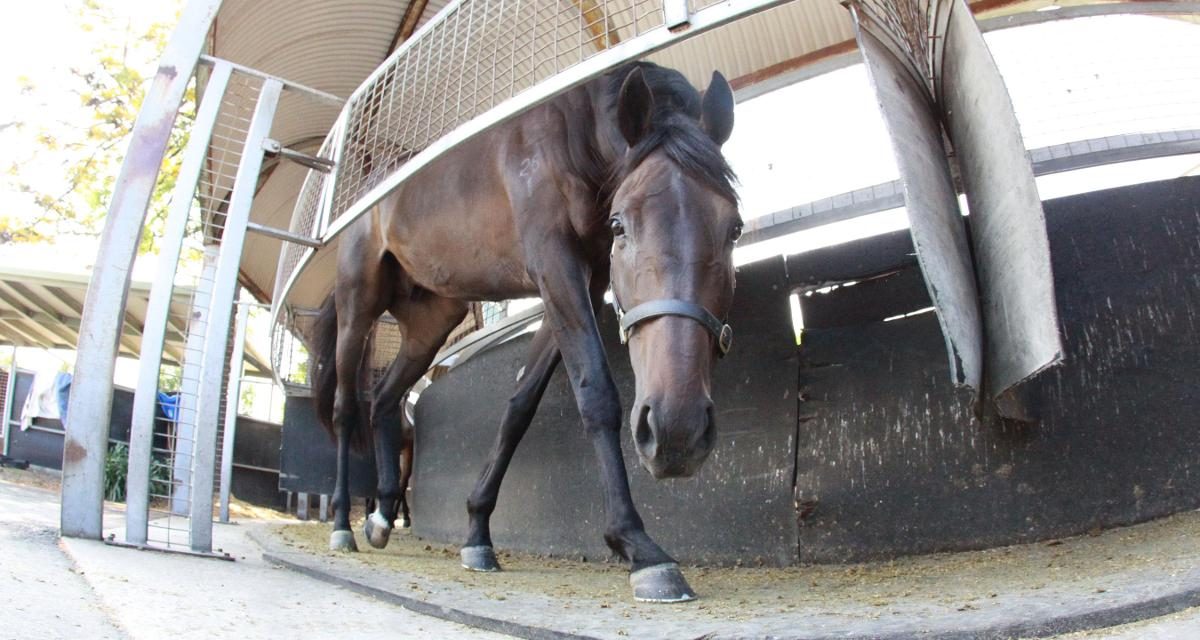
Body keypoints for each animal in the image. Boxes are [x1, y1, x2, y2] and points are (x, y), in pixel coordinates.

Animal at [309, 62, 739, 600]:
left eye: (734, 228)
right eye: (620, 226)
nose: (677, 432)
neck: (572, 138)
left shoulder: (583, 281)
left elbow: (519, 407)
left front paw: (477, 533)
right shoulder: (554, 264)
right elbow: (596, 394)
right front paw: (637, 545)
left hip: (432, 320)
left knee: (385, 397)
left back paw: (383, 515)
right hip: (358, 304)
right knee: (347, 408)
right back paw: (342, 526)